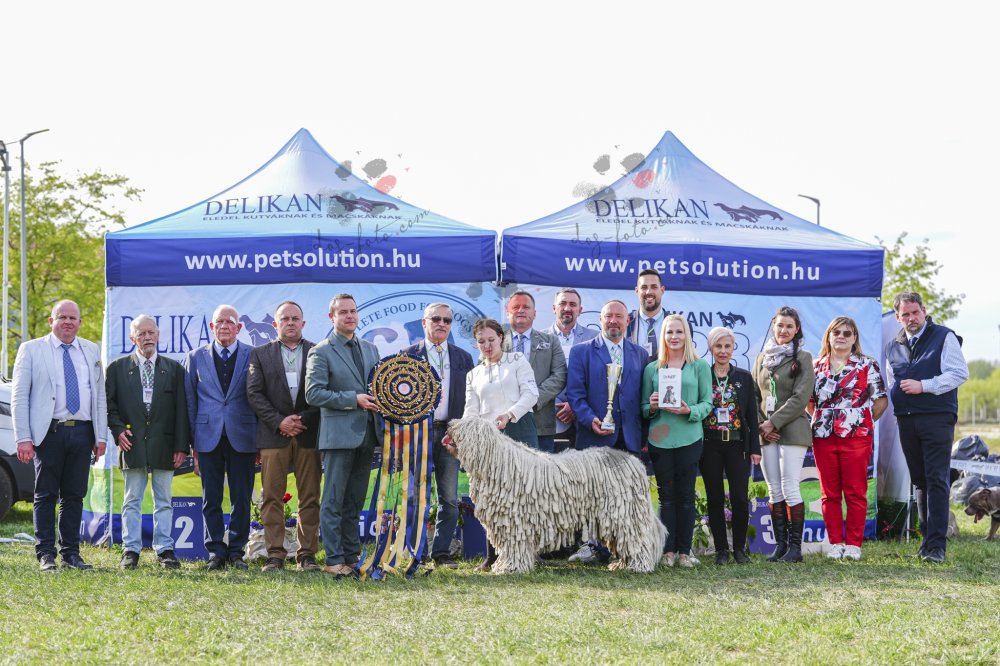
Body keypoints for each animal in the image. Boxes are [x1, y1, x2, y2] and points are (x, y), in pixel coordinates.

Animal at [446, 416, 667, 574]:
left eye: (465, 426)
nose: (449, 425)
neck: (498, 463)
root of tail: (634, 463)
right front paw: (505, 565)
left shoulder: (514, 522)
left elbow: (514, 546)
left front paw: (510, 567)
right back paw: (622, 564)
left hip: (622, 514)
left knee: (637, 540)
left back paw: (639, 566)